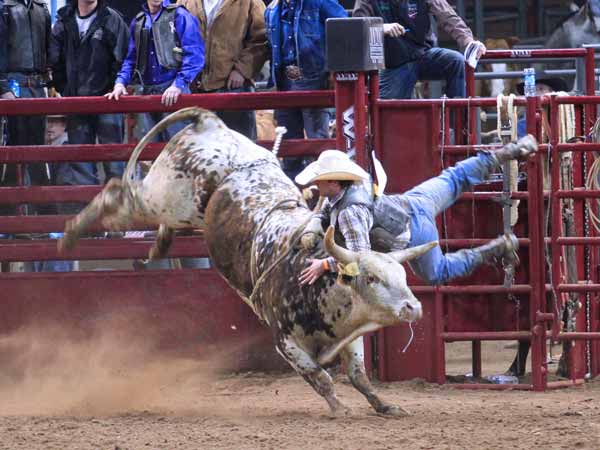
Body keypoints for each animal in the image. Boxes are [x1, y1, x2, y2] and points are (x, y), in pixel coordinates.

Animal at [59, 107, 436, 416]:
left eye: (403, 276)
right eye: (371, 278)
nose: (413, 307)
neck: (315, 284)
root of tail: (210, 123)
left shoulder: (349, 334)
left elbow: (358, 375)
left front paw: (385, 405)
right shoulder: (284, 342)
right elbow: (320, 376)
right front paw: (340, 408)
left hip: (177, 209)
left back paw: (156, 248)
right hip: (162, 198)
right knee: (118, 191)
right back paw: (69, 235)